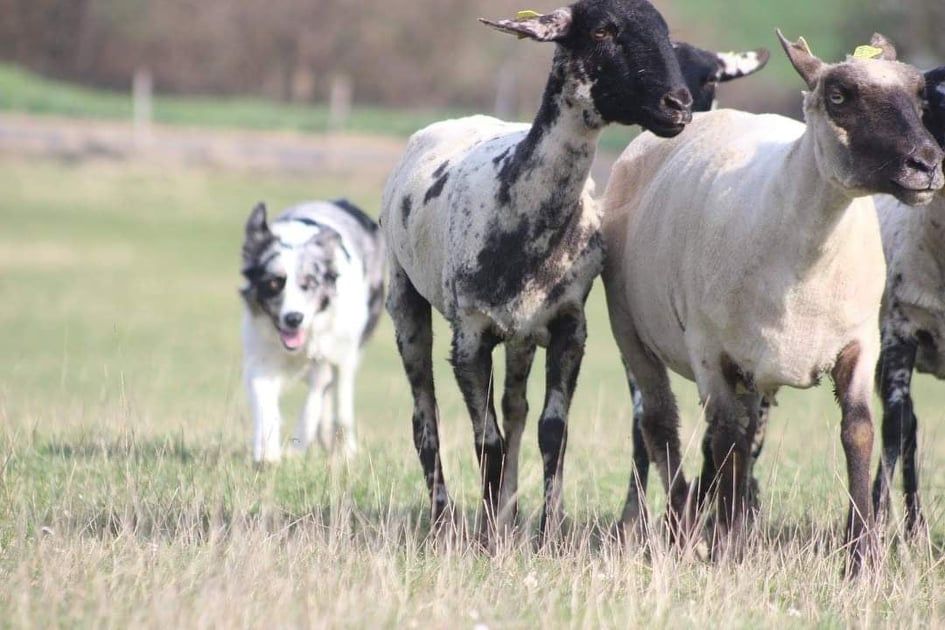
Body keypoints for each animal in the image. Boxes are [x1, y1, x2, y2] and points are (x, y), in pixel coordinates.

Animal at [240, 200, 384, 462]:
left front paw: (296, 448)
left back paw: (345, 449)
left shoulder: (327, 356)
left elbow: (313, 404)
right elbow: (265, 403)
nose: (293, 318)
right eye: (273, 283)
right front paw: (267, 454)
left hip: (348, 355)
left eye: (309, 283)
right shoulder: (261, 356)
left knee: (341, 401)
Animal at [378, 1, 692, 544]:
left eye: (665, 31)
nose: (679, 105)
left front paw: (549, 532)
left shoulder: (570, 325)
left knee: (515, 410)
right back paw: (445, 519)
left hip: (523, 334)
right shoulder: (470, 335)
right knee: (426, 422)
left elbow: (551, 431)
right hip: (405, 299)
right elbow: (487, 441)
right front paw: (486, 537)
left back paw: (509, 513)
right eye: (602, 30)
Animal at [600, 32, 940, 576]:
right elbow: (726, 441)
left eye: (919, 95)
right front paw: (725, 550)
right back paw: (681, 527)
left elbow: (858, 432)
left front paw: (862, 558)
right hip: (631, 332)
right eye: (838, 96)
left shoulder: (860, 344)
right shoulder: (712, 354)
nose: (927, 164)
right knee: (662, 427)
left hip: (755, 367)